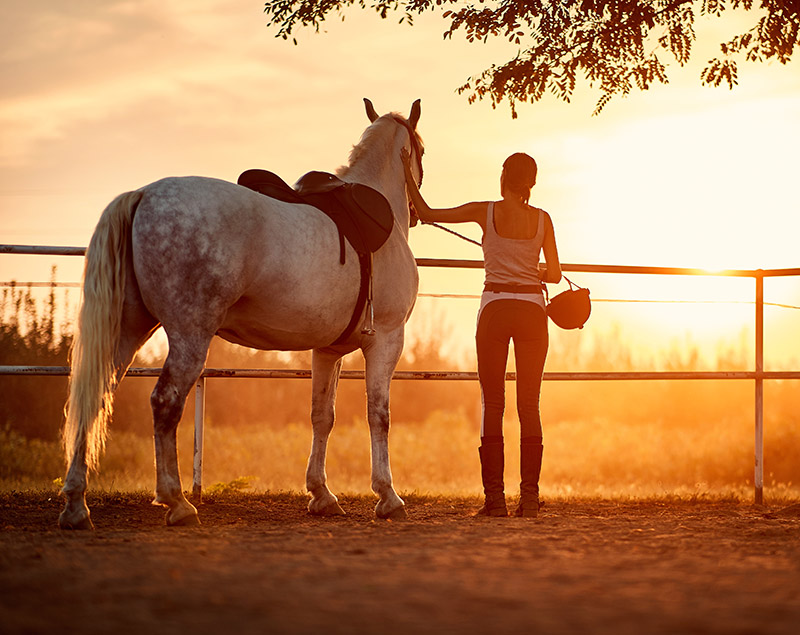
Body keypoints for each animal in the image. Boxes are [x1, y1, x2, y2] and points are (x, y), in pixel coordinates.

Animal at [59, 99, 423, 529]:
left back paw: (76, 505)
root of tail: (144, 194)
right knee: (165, 402)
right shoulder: (386, 339)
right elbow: (378, 414)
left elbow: (322, 415)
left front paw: (321, 494)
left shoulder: (327, 351)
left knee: (95, 396)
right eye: (422, 149)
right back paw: (177, 501)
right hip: (189, 335)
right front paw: (388, 496)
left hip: (128, 330)